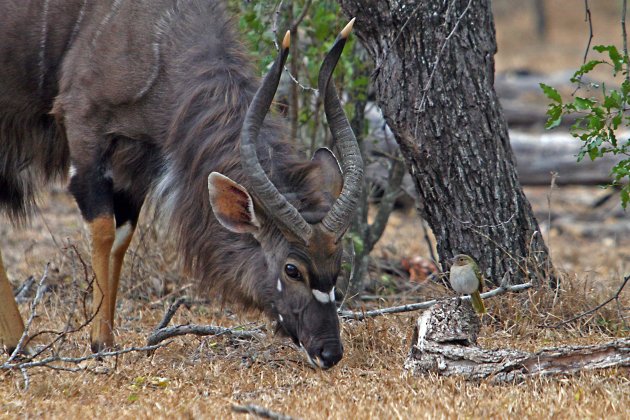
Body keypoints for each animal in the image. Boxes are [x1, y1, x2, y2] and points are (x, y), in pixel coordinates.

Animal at [0, 0, 362, 368]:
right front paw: (100, 343)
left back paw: (18, 343)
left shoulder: (137, 163)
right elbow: (102, 229)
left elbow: (121, 238)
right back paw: (20, 344)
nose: (329, 352)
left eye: (338, 264)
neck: (160, 40)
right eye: (292, 269)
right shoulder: (83, 126)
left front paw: (111, 338)